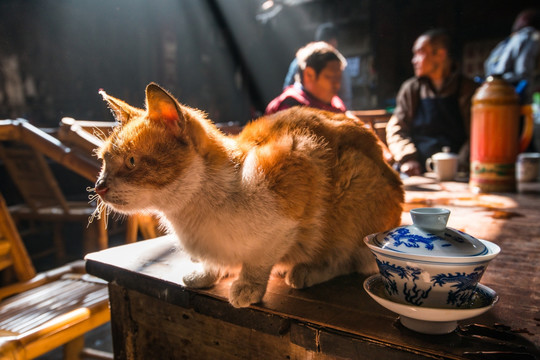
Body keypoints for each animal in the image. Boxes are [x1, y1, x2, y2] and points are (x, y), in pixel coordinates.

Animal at [94, 83, 404, 306]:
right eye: (104, 161)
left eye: (131, 161)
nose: (99, 186)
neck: (190, 217)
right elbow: (214, 263)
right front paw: (205, 273)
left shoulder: (299, 164)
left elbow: (258, 261)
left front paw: (246, 287)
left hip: (353, 188)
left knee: (347, 259)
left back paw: (304, 271)